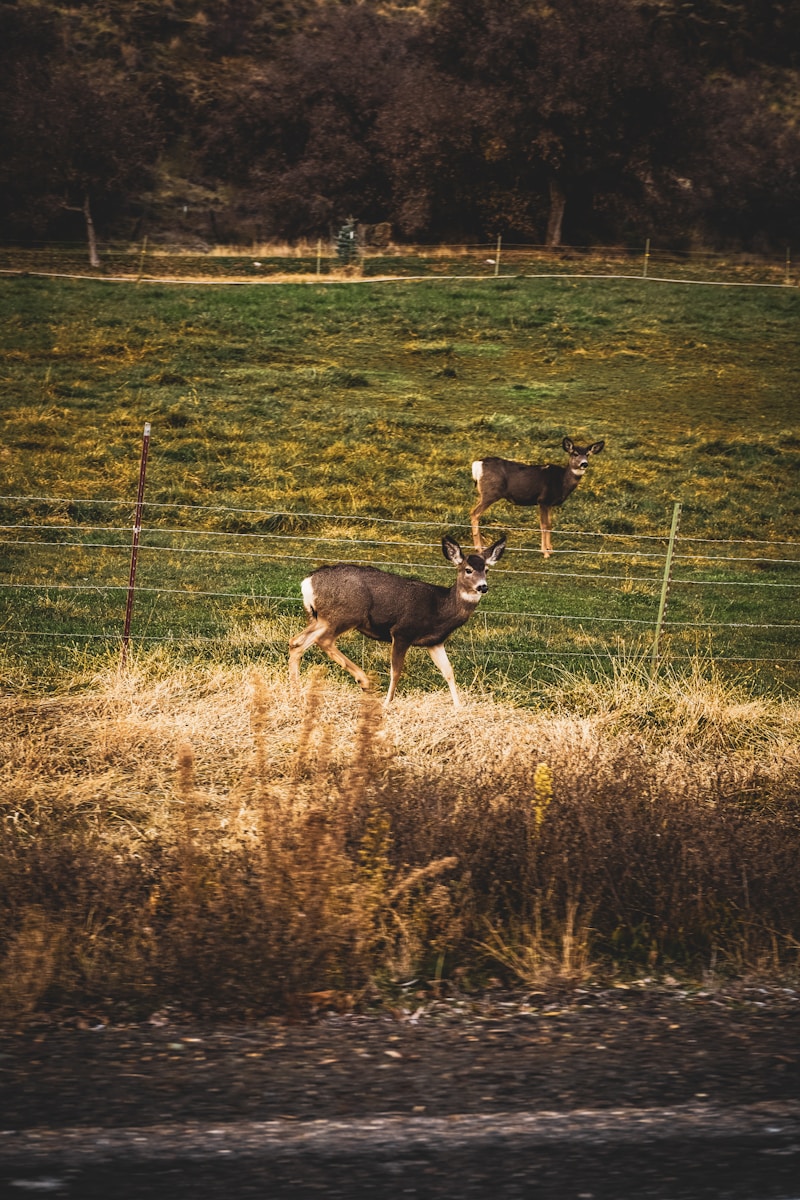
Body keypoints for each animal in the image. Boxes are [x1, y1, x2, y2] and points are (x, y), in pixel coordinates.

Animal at [287, 532, 506, 705]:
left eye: (486, 570)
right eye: (468, 569)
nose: (482, 587)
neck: (441, 608)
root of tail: (307, 582)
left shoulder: (434, 642)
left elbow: (449, 671)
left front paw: (458, 707)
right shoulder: (402, 631)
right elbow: (396, 671)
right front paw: (387, 703)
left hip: (319, 618)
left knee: (296, 642)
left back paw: (297, 694)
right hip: (346, 614)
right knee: (323, 640)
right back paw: (364, 681)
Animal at [470, 436, 606, 556]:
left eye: (588, 454)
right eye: (575, 453)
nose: (584, 464)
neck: (562, 481)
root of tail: (477, 464)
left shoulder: (550, 503)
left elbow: (550, 525)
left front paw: (551, 549)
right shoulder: (543, 500)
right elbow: (543, 525)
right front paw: (545, 552)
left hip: (482, 494)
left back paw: (482, 547)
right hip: (491, 493)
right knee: (475, 513)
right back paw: (478, 548)